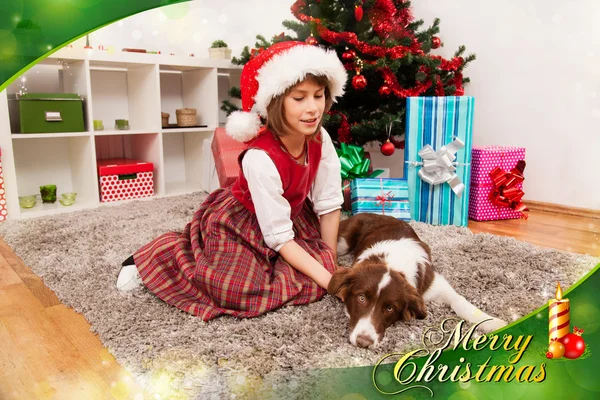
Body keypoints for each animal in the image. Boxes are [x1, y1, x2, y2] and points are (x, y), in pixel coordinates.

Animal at [328, 212, 506, 346]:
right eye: (362, 298)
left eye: (390, 308)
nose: (363, 342)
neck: (391, 263)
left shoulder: (434, 283)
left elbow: (461, 302)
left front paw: (493, 322)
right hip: (343, 241)